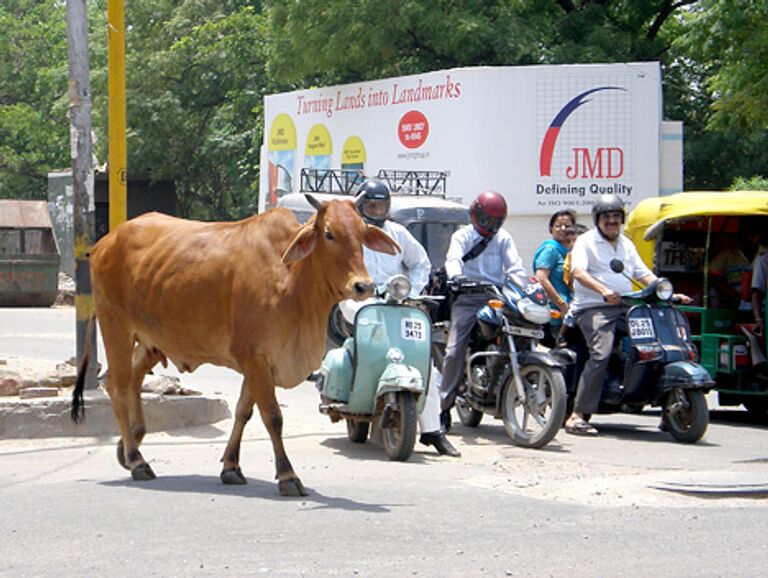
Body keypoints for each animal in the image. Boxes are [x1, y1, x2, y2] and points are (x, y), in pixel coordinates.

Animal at [70, 196, 402, 492]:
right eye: (329, 233)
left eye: (362, 233)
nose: (363, 286)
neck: (292, 278)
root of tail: (105, 241)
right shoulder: (255, 359)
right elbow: (272, 417)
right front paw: (287, 476)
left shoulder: (259, 362)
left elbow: (244, 411)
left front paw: (231, 466)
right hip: (116, 327)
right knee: (118, 386)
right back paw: (137, 460)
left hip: (153, 339)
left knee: (133, 379)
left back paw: (130, 446)